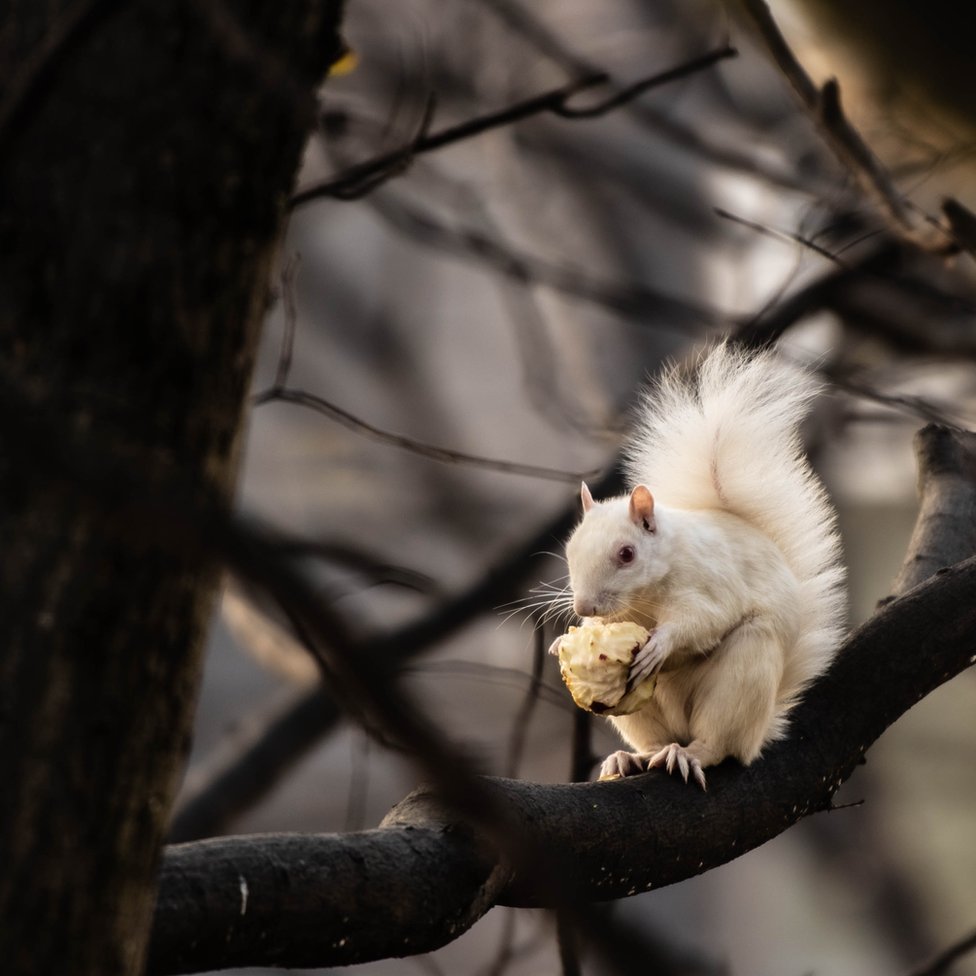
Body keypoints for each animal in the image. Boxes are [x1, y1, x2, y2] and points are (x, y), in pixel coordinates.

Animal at [556, 344, 848, 784]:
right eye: (571, 551)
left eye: (627, 554)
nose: (583, 606)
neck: (644, 601)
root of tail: (759, 731)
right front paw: (562, 641)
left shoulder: (709, 580)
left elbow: (704, 619)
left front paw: (662, 644)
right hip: (642, 713)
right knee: (655, 741)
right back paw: (630, 759)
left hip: (740, 678)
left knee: (717, 742)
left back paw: (688, 754)